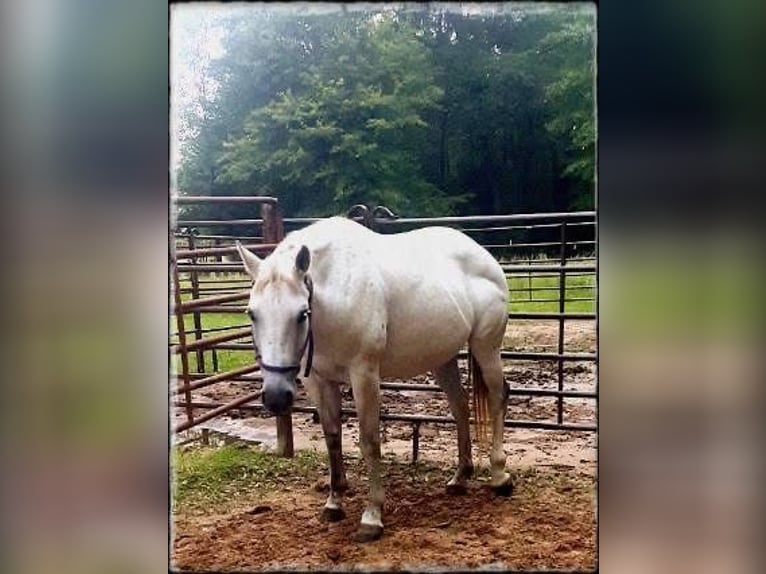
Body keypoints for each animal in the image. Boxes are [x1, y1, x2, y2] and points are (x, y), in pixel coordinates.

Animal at [234, 217, 510, 544]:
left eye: (302, 314)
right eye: (252, 314)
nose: (276, 398)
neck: (335, 291)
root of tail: (484, 256)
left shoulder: (364, 375)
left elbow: (369, 440)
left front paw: (372, 516)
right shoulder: (318, 381)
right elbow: (332, 438)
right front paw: (333, 503)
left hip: (486, 348)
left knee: (498, 397)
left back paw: (500, 476)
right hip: (443, 359)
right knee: (460, 408)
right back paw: (459, 478)